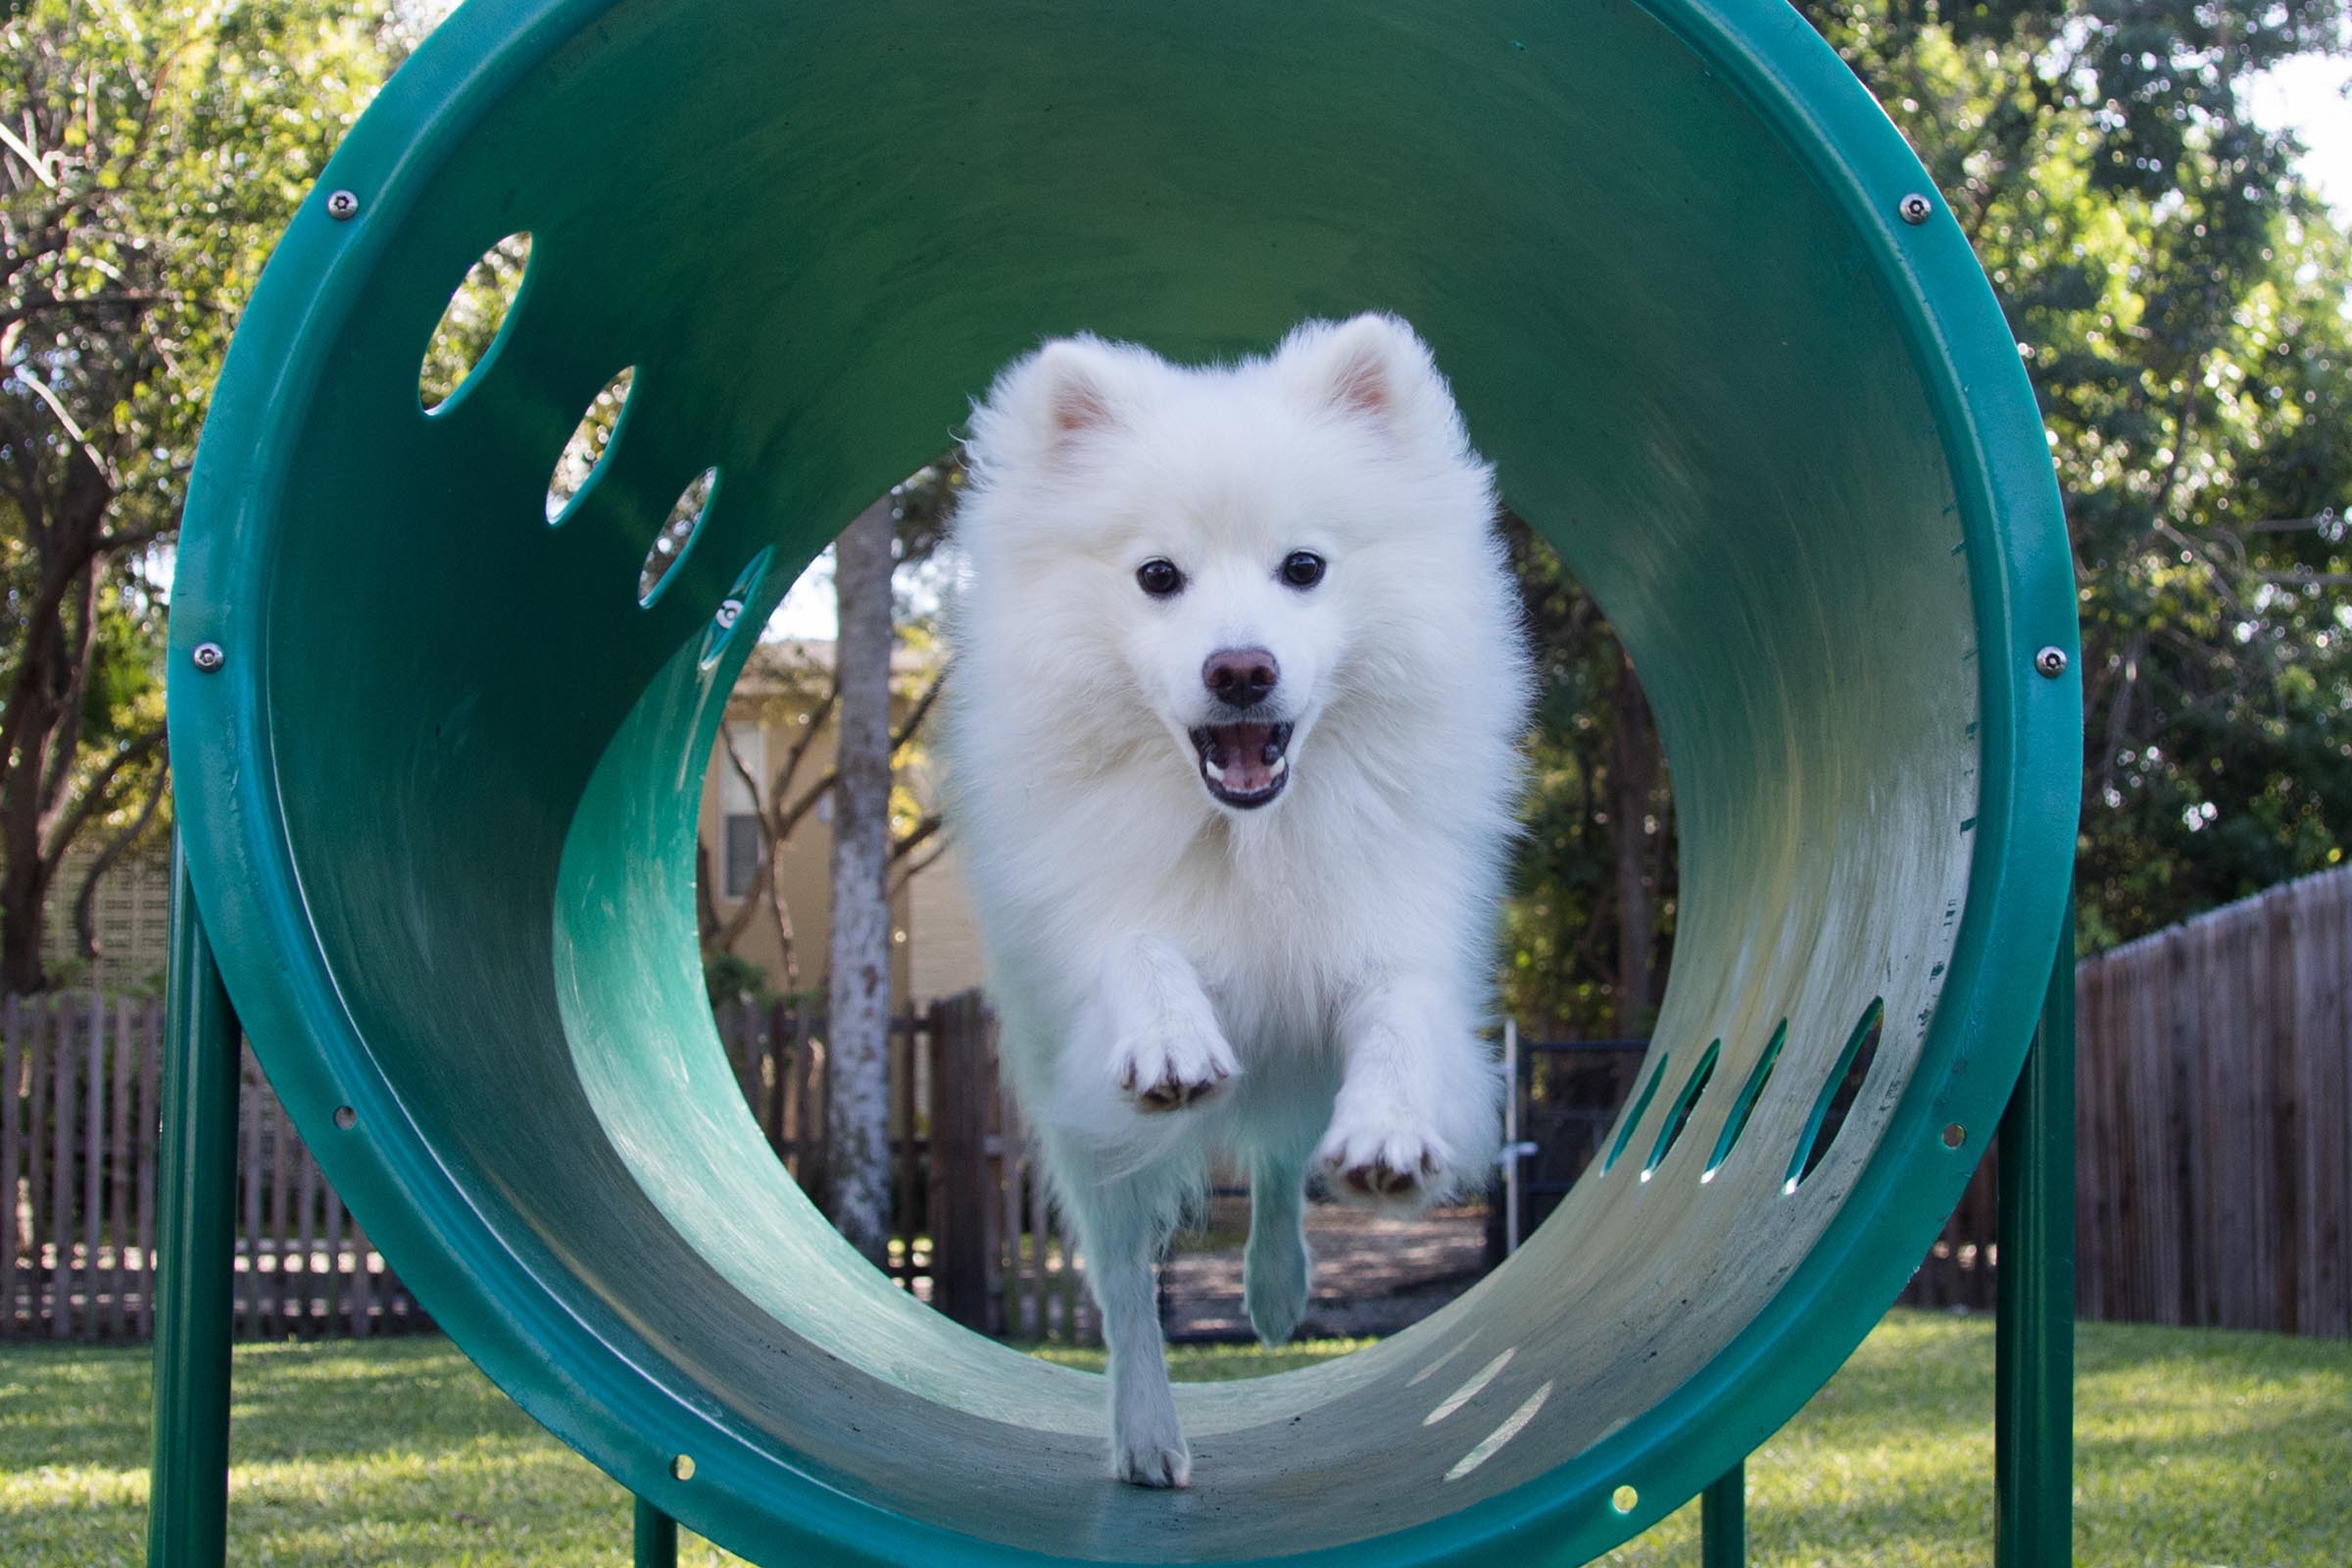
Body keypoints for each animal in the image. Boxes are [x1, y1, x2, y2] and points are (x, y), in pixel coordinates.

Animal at [945, 315, 1533, 1486]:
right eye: (1157, 575)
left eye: (1303, 568)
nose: (1242, 670)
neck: (1251, 834)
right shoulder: (1099, 927)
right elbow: (1139, 949)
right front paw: (1172, 1041)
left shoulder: (1389, 930)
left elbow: (1399, 1023)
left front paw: (1390, 1134)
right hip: (1090, 1150)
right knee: (1126, 1282)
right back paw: (1147, 1436)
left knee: (1275, 1165)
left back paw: (1274, 1292)